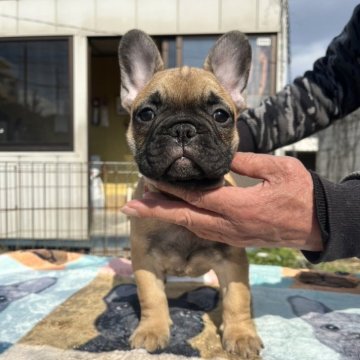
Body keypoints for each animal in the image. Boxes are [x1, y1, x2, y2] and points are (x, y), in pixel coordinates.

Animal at [119, 29, 262, 358]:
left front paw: (241, 335)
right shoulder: (145, 260)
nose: (183, 129)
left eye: (221, 115)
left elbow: (236, 298)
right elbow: (152, 297)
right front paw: (152, 330)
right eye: (145, 114)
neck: (183, 194)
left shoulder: (233, 260)